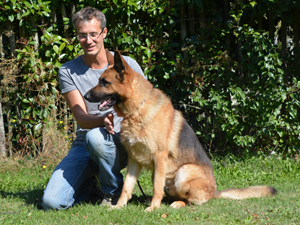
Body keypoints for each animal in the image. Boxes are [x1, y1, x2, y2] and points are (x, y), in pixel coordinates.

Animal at [84, 49, 276, 211]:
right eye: (99, 81)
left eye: (104, 82)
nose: (85, 96)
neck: (137, 110)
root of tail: (214, 192)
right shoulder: (134, 160)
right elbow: (126, 187)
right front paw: (119, 206)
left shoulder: (159, 157)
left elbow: (156, 188)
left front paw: (153, 208)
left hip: (184, 172)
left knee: (190, 201)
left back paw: (176, 204)